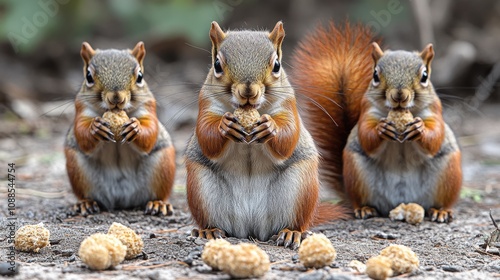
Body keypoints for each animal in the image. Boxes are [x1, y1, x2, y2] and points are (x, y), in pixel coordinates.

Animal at [65, 41, 176, 217]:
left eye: (140, 77)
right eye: (88, 77)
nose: (116, 98)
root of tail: (121, 201)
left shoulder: (148, 107)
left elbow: (151, 131)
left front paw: (135, 128)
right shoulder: (82, 108)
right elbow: (81, 132)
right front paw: (95, 128)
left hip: (163, 164)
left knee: (158, 193)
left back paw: (158, 204)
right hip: (76, 167)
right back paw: (86, 203)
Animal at [185, 21, 348, 249]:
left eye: (277, 65)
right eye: (217, 65)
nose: (248, 91)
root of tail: (250, 228)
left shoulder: (288, 103)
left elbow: (289, 134)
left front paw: (270, 128)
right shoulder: (207, 103)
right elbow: (206, 134)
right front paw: (225, 126)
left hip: (300, 186)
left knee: (295, 221)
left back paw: (291, 233)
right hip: (201, 187)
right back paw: (209, 231)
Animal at [292, 21, 460, 223]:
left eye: (425, 76)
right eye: (375, 75)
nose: (399, 95)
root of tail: (400, 202)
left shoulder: (434, 111)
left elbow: (436, 136)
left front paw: (419, 128)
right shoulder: (367, 111)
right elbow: (365, 135)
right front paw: (382, 129)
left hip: (448, 173)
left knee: (442, 199)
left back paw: (441, 211)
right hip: (357, 172)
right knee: (362, 199)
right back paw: (365, 209)